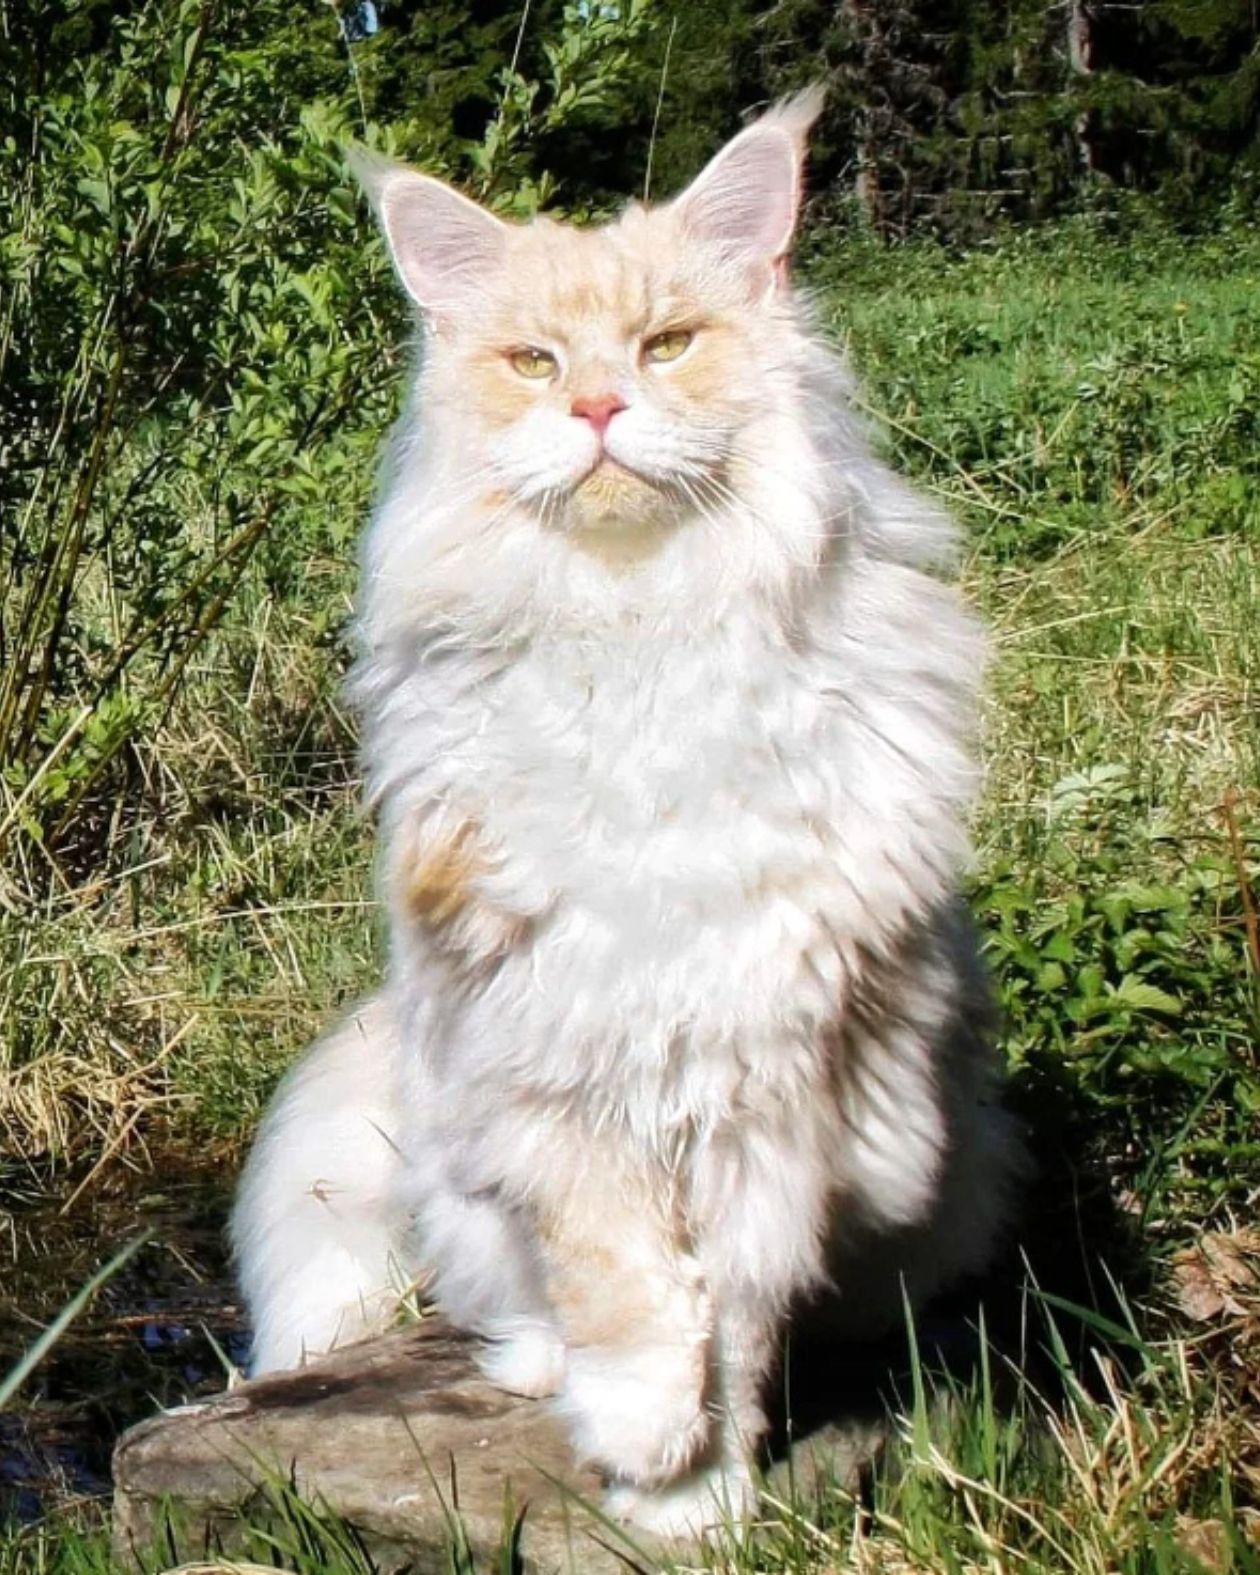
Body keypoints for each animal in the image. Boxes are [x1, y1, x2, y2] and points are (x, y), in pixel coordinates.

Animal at [233, 86, 1020, 1537]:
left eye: (666, 345)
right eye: (536, 363)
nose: (600, 406)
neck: (637, 626)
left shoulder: (764, 1087)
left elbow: (734, 1319)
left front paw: (702, 1503)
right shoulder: (561, 1067)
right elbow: (629, 1295)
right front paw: (644, 1442)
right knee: (509, 1297)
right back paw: (549, 1374)